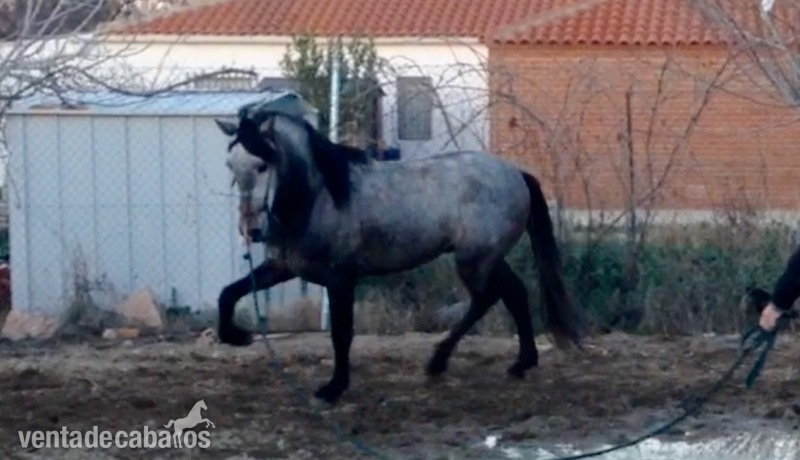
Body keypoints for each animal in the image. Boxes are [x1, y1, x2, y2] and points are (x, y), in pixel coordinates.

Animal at [212, 104, 587, 404]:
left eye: (262, 165)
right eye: (230, 164)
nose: (252, 231)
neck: (321, 197)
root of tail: (516, 174)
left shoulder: (340, 279)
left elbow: (341, 334)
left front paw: (334, 388)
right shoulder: (282, 267)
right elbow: (228, 293)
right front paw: (237, 336)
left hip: (474, 260)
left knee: (488, 298)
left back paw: (445, 361)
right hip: (486, 258)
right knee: (514, 294)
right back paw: (517, 363)